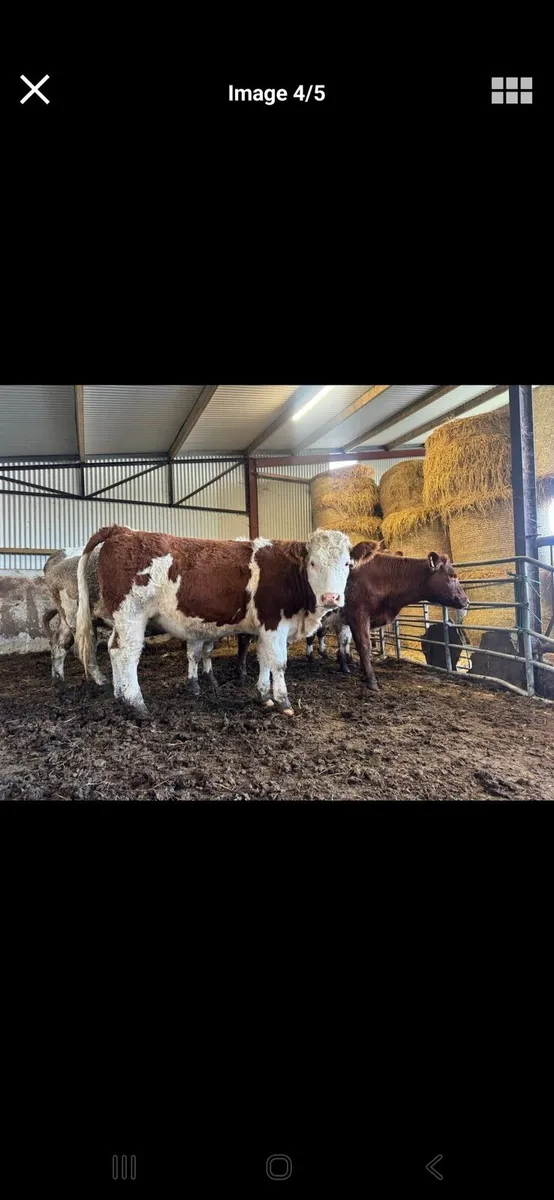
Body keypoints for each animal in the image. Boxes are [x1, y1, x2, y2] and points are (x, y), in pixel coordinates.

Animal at [75, 524, 352, 716]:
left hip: (121, 620)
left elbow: (263, 659)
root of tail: (122, 530)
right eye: (313, 563)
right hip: (132, 615)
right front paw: (283, 702)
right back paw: (136, 702)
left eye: (348, 563)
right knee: (127, 654)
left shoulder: (264, 627)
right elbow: (279, 663)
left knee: (113, 649)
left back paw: (119, 695)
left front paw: (264, 696)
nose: (331, 597)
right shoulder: (274, 623)